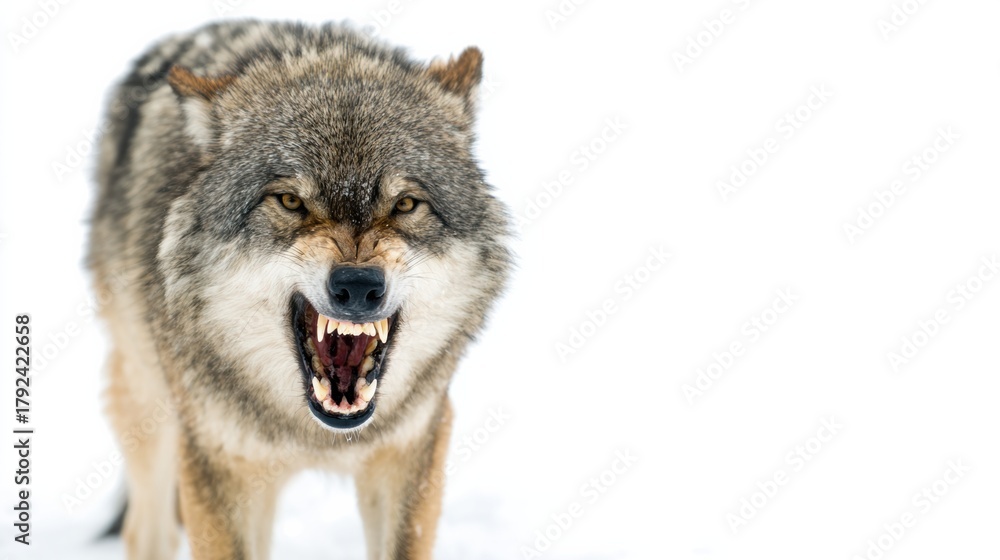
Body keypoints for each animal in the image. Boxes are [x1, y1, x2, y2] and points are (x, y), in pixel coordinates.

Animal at [87, 20, 511, 559]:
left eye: (405, 204)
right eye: (290, 201)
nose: (358, 286)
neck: (317, 436)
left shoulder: (412, 448)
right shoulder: (217, 463)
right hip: (150, 406)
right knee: (146, 529)